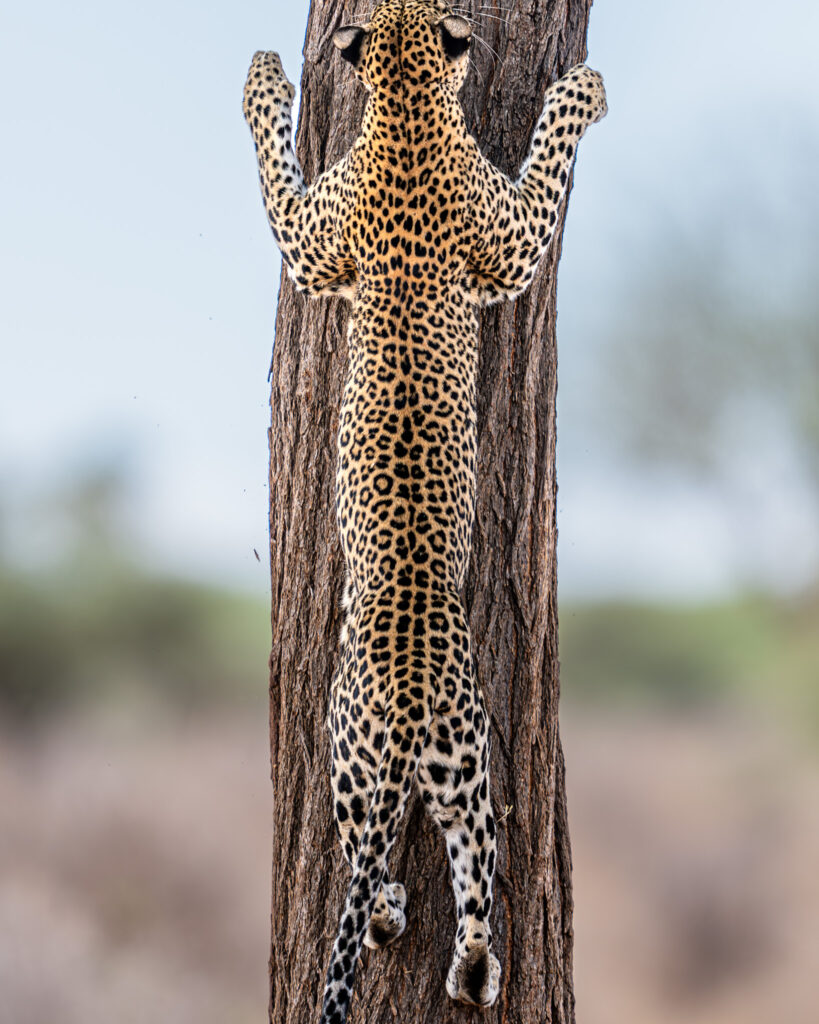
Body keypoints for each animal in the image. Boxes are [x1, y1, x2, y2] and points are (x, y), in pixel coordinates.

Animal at [243, 3, 606, 1022]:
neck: (405, 107)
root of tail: (405, 699)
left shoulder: (320, 241)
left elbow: (274, 169)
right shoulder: (502, 240)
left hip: (391, 768)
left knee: (407, 877)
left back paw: (430, 941)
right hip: (449, 766)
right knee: (462, 882)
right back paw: (468, 967)